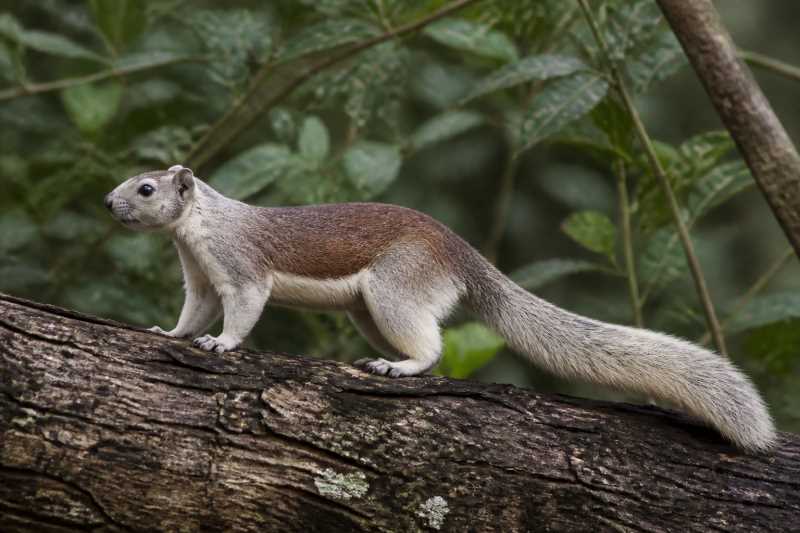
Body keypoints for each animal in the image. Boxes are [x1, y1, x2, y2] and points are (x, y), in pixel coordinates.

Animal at [105, 165, 776, 452]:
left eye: (147, 188)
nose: (110, 204)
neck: (198, 227)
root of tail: (460, 255)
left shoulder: (240, 267)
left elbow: (243, 310)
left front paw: (222, 344)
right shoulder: (200, 279)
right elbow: (192, 311)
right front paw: (169, 330)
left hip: (395, 290)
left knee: (432, 347)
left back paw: (398, 368)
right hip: (369, 311)